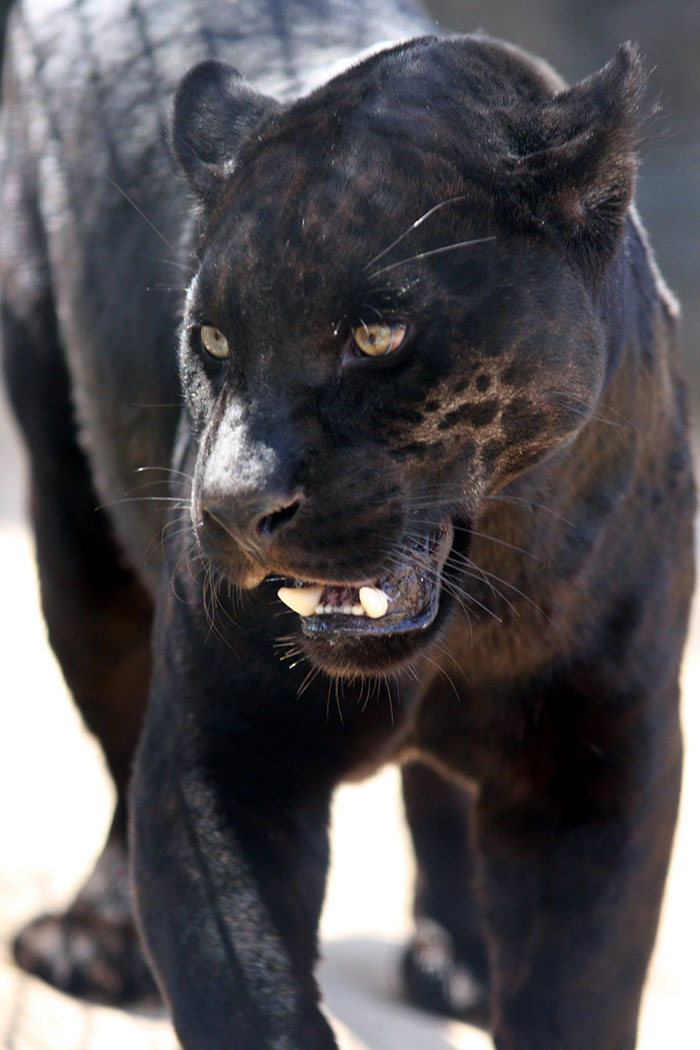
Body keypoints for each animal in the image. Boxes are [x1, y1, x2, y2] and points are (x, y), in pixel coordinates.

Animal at [0, 0, 694, 1048]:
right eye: (212, 339)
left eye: (376, 335)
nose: (232, 505)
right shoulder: (223, 753)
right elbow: (250, 991)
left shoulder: (602, 760)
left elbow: (578, 992)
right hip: (78, 551)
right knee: (119, 742)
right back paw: (95, 938)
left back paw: (458, 954)